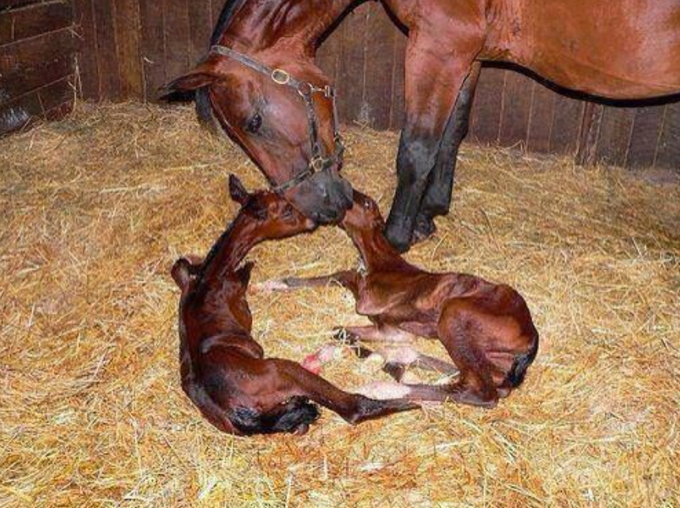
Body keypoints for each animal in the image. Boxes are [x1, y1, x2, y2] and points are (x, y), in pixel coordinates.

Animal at [166, 0, 680, 252]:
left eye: (253, 121)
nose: (323, 208)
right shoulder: (465, 52)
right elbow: (451, 133)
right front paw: (430, 212)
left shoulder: (439, 43)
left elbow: (417, 148)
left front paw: (396, 236)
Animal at [171, 175, 418, 436]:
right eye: (286, 210)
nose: (314, 219)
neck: (211, 276)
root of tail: (237, 413)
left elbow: (179, 264)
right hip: (284, 370)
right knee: (352, 406)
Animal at [260, 191, 539, 408]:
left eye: (366, 202)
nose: (340, 194)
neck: (382, 264)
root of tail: (531, 336)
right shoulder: (386, 325)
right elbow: (341, 322)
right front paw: (273, 283)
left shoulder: (387, 316)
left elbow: (349, 300)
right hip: (490, 354)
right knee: (491, 380)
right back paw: (400, 365)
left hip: (454, 313)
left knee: (484, 391)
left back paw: (385, 387)